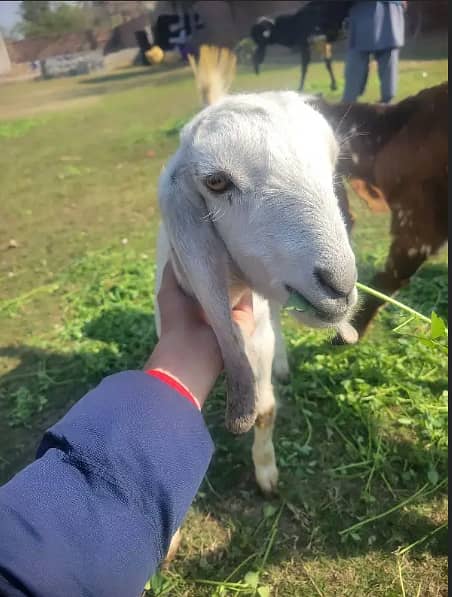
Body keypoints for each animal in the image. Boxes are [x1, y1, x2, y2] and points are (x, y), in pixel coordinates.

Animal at [154, 87, 356, 488]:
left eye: (333, 161)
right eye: (216, 182)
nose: (341, 286)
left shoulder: (257, 335)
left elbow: (264, 409)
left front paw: (266, 473)